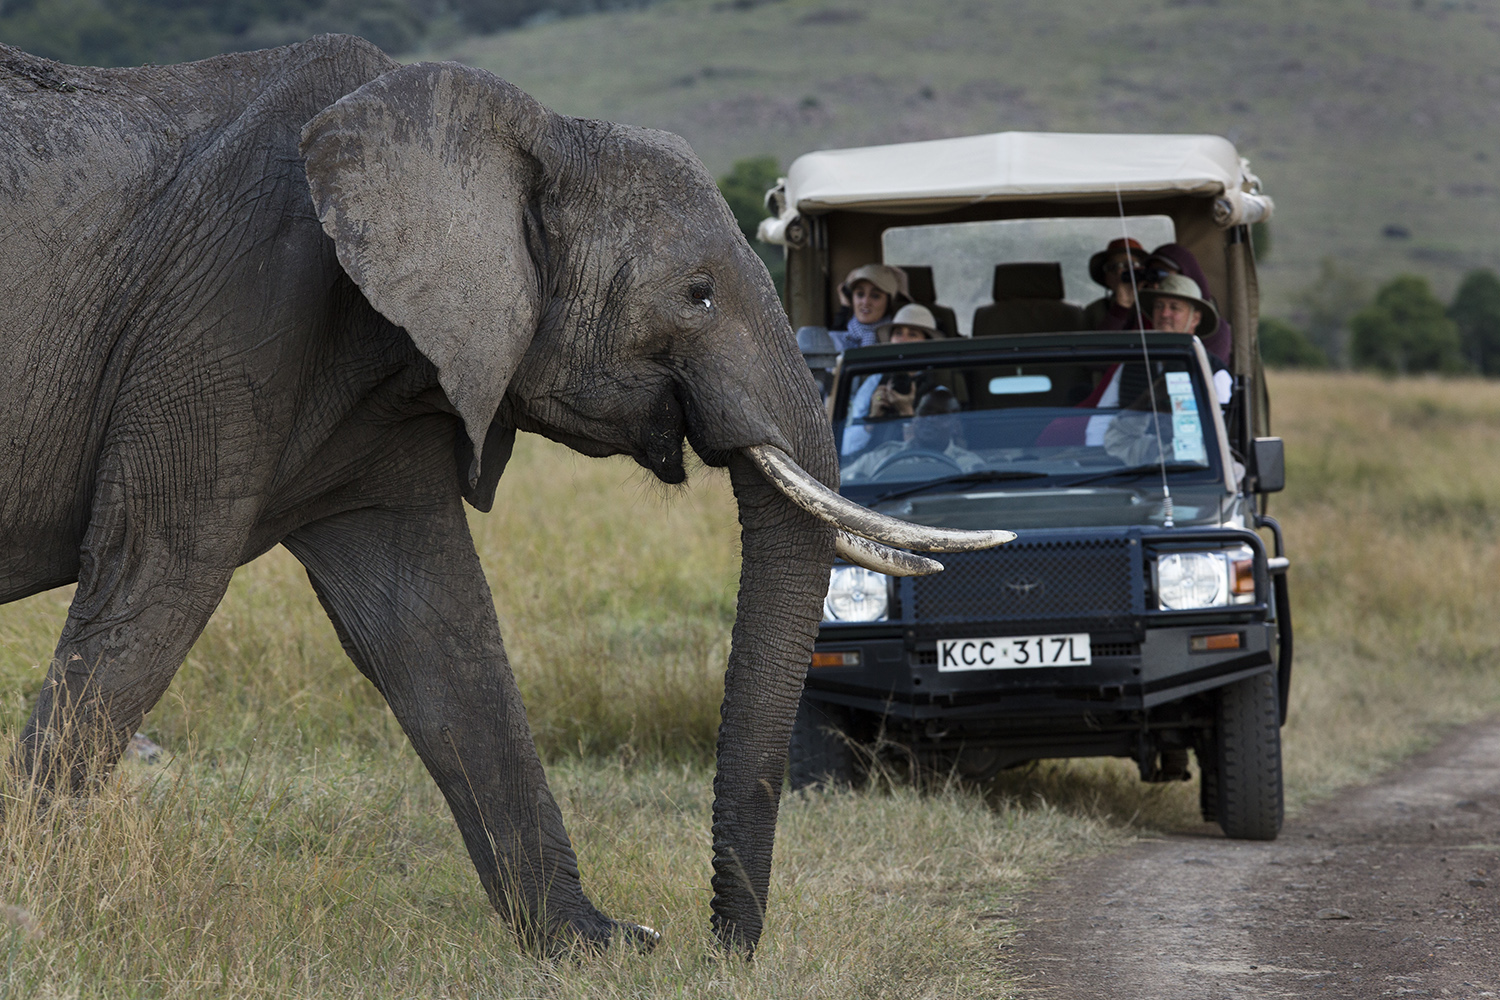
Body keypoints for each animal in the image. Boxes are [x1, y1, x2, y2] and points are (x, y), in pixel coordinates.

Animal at [0, 37, 1008, 953]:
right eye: (697, 294)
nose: (715, 942)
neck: (519, 134)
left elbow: (433, 628)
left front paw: (598, 946)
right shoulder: (229, 315)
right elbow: (155, 586)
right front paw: (30, 918)